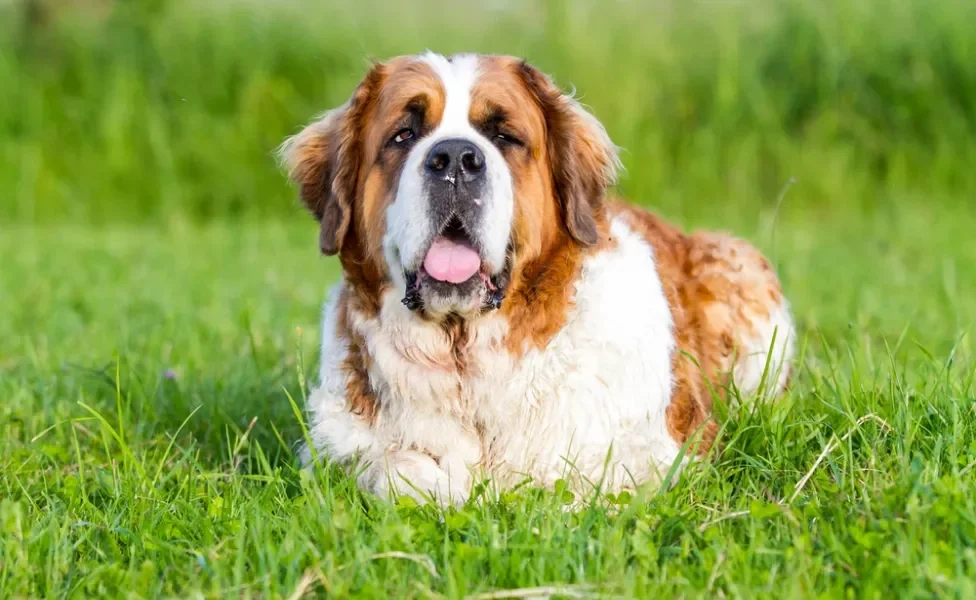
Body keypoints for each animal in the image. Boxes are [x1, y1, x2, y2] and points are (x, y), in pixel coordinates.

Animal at [278, 52, 796, 506]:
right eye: (404, 135)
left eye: (503, 135)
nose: (454, 158)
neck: (467, 358)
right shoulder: (333, 447)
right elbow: (394, 469)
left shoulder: (649, 457)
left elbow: (567, 486)